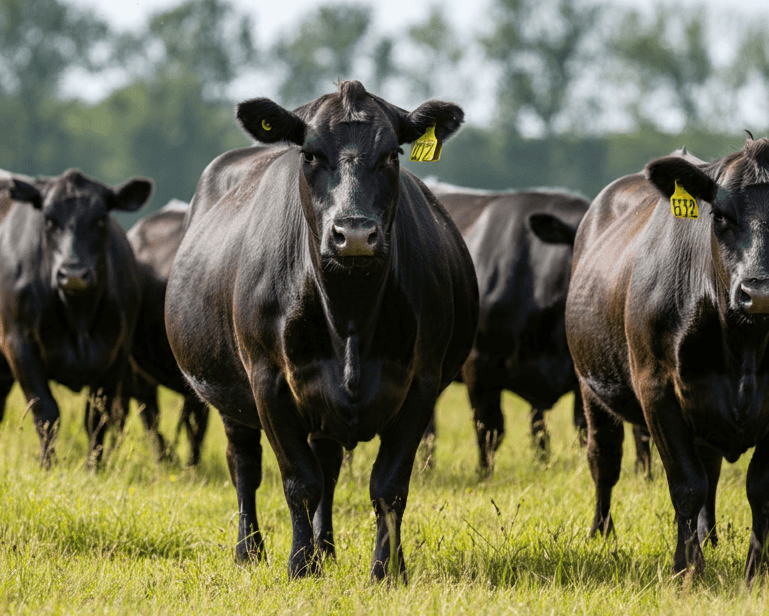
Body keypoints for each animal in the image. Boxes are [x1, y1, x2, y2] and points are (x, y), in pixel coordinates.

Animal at [0, 169, 152, 466]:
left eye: (101, 219)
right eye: (48, 219)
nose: (73, 273)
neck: (78, 316)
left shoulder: (117, 351)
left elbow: (97, 419)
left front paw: (95, 468)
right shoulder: (18, 344)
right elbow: (47, 414)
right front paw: (48, 466)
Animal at [165, 80, 478, 581]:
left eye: (392, 154)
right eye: (310, 154)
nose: (354, 234)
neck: (348, 315)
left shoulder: (421, 383)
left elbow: (388, 485)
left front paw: (388, 571)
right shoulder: (268, 380)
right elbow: (299, 481)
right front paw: (299, 566)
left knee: (328, 462)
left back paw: (326, 550)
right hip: (228, 391)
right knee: (244, 465)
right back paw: (250, 550)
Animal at [565, 134, 769, 581]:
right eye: (720, 216)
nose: (759, 292)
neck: (743, 349)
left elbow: (759, 488)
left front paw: (756, 573)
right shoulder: (656, 390)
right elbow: (686, 484)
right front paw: (686, 569)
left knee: (711, 464)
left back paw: (710, 536)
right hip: (591, 386)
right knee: (604, 458)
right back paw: (601, 533)